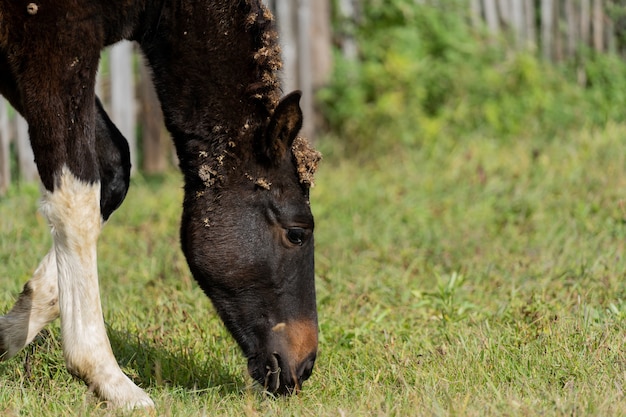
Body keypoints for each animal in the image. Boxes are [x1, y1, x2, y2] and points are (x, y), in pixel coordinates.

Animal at [0, 0, 320, 408]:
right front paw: (110, 379)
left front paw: (7, 332)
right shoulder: (55, 41)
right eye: (296, 233)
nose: (305, 365)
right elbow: (76, 198)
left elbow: (113, 169)